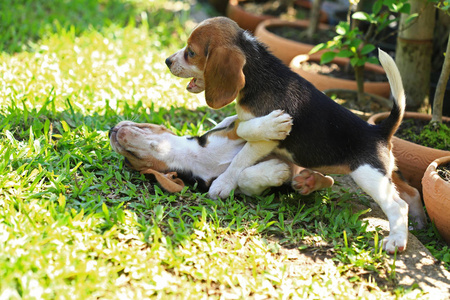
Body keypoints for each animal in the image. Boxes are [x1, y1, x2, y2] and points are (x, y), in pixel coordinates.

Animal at [109, 111, 334, 196]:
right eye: (129, 160)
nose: (110, 130)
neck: (191, 156)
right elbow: (243, 179)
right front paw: (275, 170)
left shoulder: (230, 131)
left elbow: (243, 128)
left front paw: (271, 126)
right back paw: (307, 181)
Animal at [165, 16, 426, 253]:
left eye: (191, 52)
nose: (167, 61)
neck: (258, 68)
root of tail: (378, 130)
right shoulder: (244, 121)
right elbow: (242, 126)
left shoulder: (264, 142)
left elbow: (241, 155)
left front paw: (222, 184)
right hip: (388, 171)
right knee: (412, 193)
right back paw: (419, 223)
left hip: (368, 174)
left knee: (397, 205)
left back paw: (396, 241)